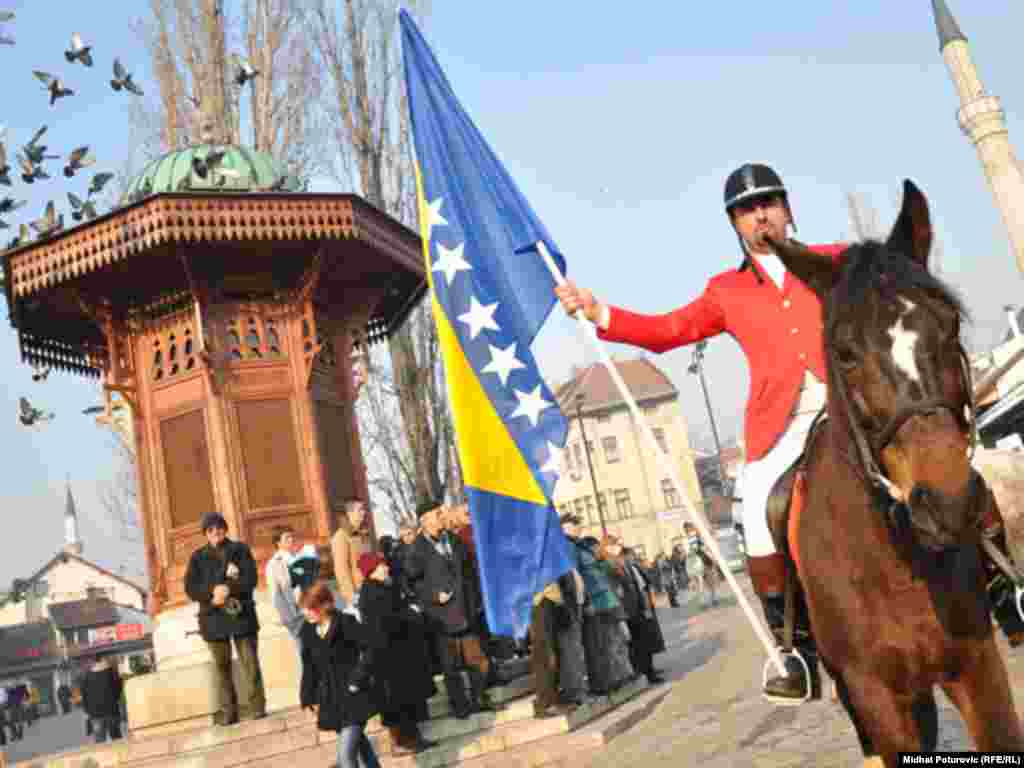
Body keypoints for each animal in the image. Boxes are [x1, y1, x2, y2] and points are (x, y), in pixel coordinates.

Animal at [770, 182, 1019, 768]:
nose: (948, 503)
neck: (893, 562)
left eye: (950, 324)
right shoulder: (875, 696)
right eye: (844, 352)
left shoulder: (978, 665)